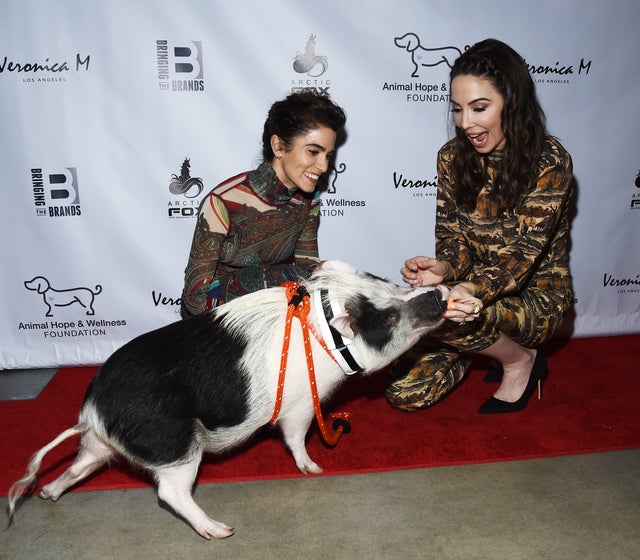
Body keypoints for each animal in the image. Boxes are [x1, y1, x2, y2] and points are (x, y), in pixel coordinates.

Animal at [10, 260, 450, 540]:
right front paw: (315, 469)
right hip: (175, 446)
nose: (439, 295)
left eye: (391, 283)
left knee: (78, 467)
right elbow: (295, 438)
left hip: (98, 446)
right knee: (170, 493)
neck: (325, 335)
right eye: (387, 319)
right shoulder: (299, 405)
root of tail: (95, 414)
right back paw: (221, 531)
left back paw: (48, 494)